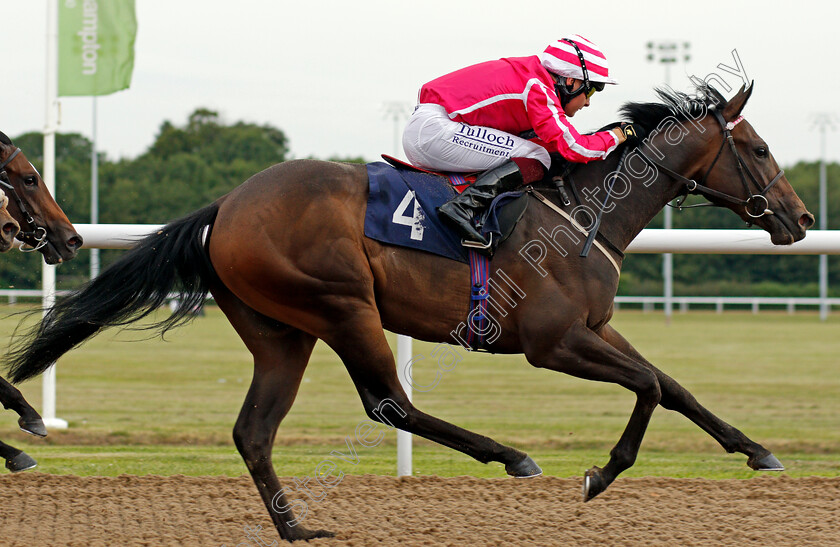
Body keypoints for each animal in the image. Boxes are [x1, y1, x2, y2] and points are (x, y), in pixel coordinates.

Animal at [0, 84, 812, 540]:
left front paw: (756, 450)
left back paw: (298, 528)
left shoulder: (596, 327)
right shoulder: (551, 341)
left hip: (282, 332)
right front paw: (602, 473)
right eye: (760, 148)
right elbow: (645, 386)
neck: (586, 212)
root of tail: (226, 206)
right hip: (342, 304)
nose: (801, 219)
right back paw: (510, 455)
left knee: (254, 430)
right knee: (389, 402)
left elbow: (671, 385)